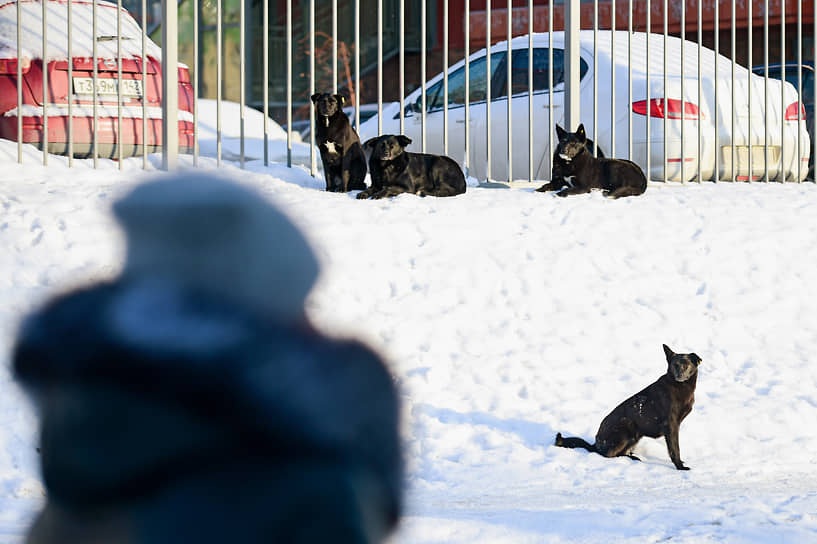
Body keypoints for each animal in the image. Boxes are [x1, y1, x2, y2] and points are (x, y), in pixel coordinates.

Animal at [556, 346, 700, 470]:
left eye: (686, 365)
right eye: (675, 365)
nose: (679, 376)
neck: (679, 387)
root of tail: (596, 445)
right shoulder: (671, 425)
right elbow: (675, 449)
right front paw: (680, 467)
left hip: (635, 436)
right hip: (626, 431)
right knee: (609, 455)